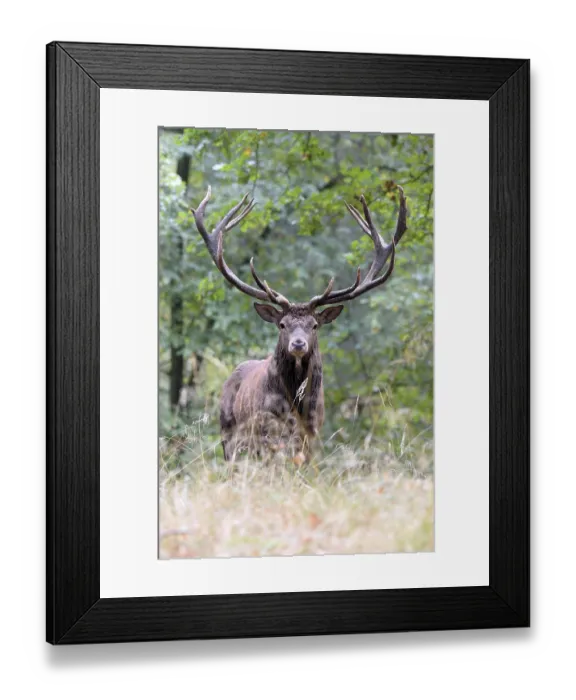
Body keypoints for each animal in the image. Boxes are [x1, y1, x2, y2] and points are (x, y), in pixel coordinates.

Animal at [190, 184, 408, 462]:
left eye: (314, 325)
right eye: (282, 324)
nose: (298, 344)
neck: (296, 406)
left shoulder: (313, 434)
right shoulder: (268, 433)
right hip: (229, 436)